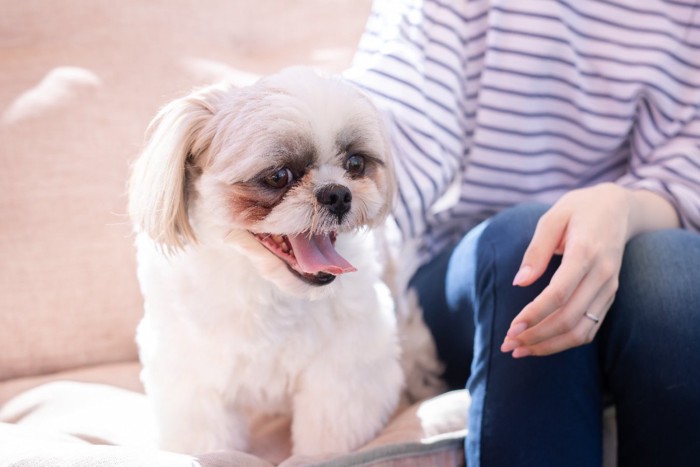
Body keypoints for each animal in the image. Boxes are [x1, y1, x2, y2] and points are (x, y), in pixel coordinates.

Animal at [129, 67, 408, 458]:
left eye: (355, 163)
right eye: (278, 176)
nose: (338, 193)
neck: (265, 287)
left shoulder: (343, 375)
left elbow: (325, 438)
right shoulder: (193, 380)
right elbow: (207, 440)